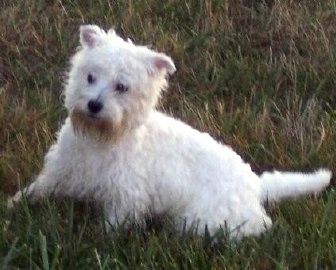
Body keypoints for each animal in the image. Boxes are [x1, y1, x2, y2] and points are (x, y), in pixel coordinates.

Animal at [9, 24, 332, 237]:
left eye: (122, 87)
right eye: (90, 77)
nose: (93, 105)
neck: (101, 136)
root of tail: (255, 185)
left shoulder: (125, 194)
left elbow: (113, 226)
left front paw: (100, 240)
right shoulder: (62, 170)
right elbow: (38, 189)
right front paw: (13, 205)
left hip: (206, 218)